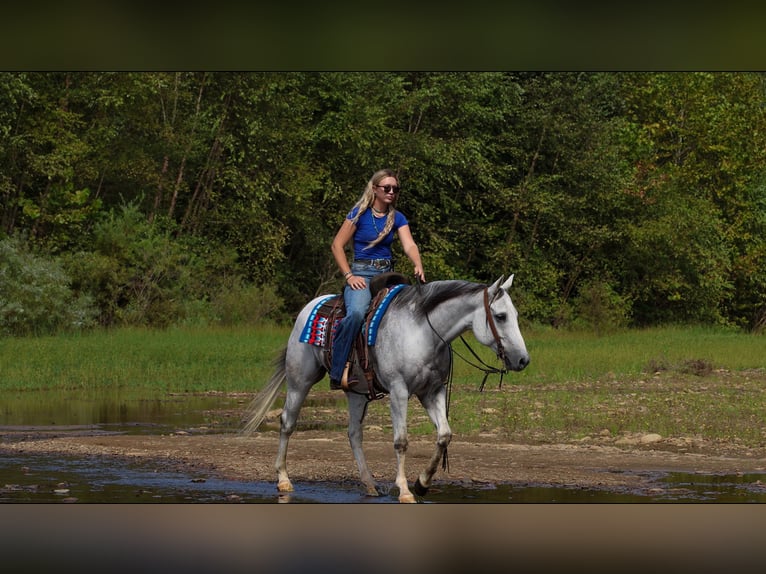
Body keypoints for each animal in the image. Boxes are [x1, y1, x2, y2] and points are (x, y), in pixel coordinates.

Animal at [240, 274, 530, 503]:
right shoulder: (399, 391)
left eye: (515, 315)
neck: (423, 332)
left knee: (354, 434)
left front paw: (422, 484)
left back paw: (369, 484)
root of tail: (310, 306)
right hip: (300, 381)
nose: (523, 360)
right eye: (500, 316)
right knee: (287, 423)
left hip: (356, 393)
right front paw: (405, 490)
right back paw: (283, 479)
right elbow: (401, 442)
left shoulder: (431, 391)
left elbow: (444, 435)